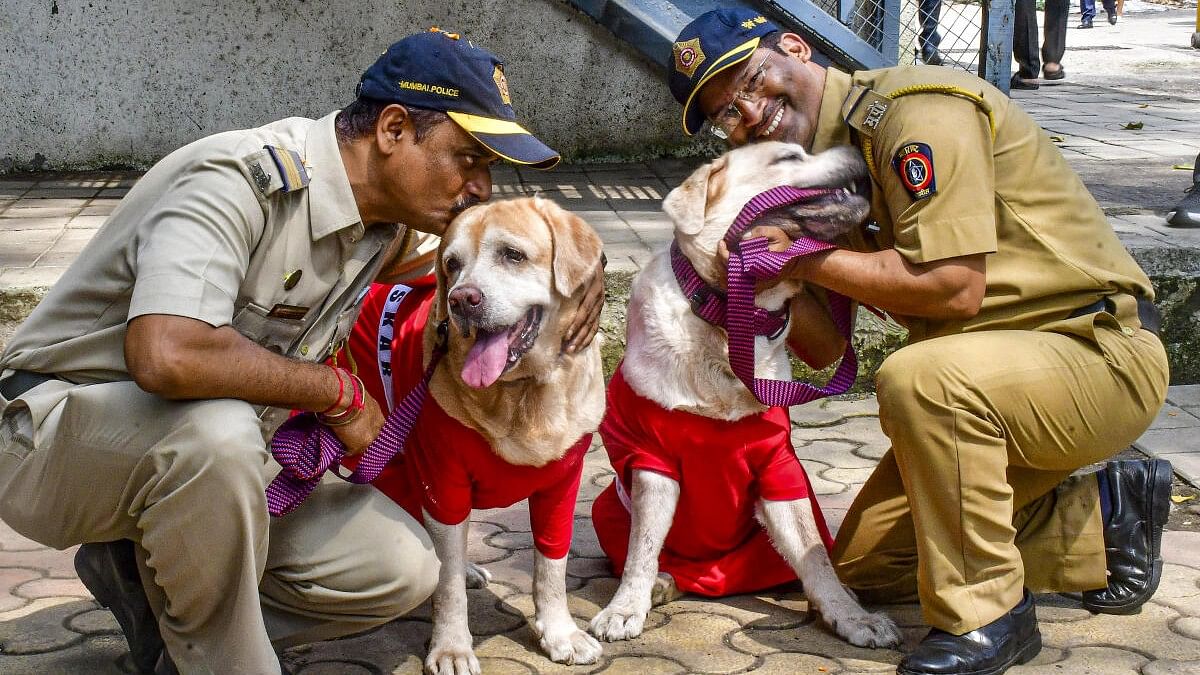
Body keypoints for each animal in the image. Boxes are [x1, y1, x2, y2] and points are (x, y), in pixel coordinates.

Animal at [410, 196, 604, 667]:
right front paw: (451, 646)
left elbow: (551, 565)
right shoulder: (441, 481)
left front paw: (560, 633)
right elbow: (446, 581)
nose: (461, 299)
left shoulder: (563, 484)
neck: (521, 393)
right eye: (452, 264)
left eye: (512, 255)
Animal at [590, 140, 902, 648]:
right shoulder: (652, 460)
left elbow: (815, 554)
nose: (852, 147)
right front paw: (625, 608)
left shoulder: (778, 465)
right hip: (607, 508)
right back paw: (663, 583)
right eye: (789, 157)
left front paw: (850, 616)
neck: (730, 318)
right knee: (651, 557)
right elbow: (642, 549)